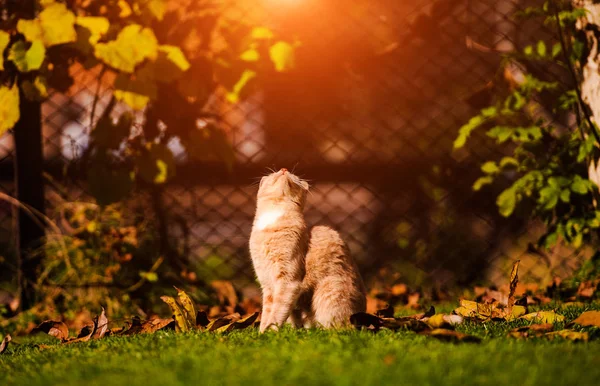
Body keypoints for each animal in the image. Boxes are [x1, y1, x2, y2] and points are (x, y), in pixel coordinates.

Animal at [248, 169, 366, 332]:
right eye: (275, 172)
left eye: (295, 177)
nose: (284, 169)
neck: (272, 220)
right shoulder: (267, 283)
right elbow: (267, 312)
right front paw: (261, 333)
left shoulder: (288, 281)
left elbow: (277, 311)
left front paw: (270, 332)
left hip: (329, 294)